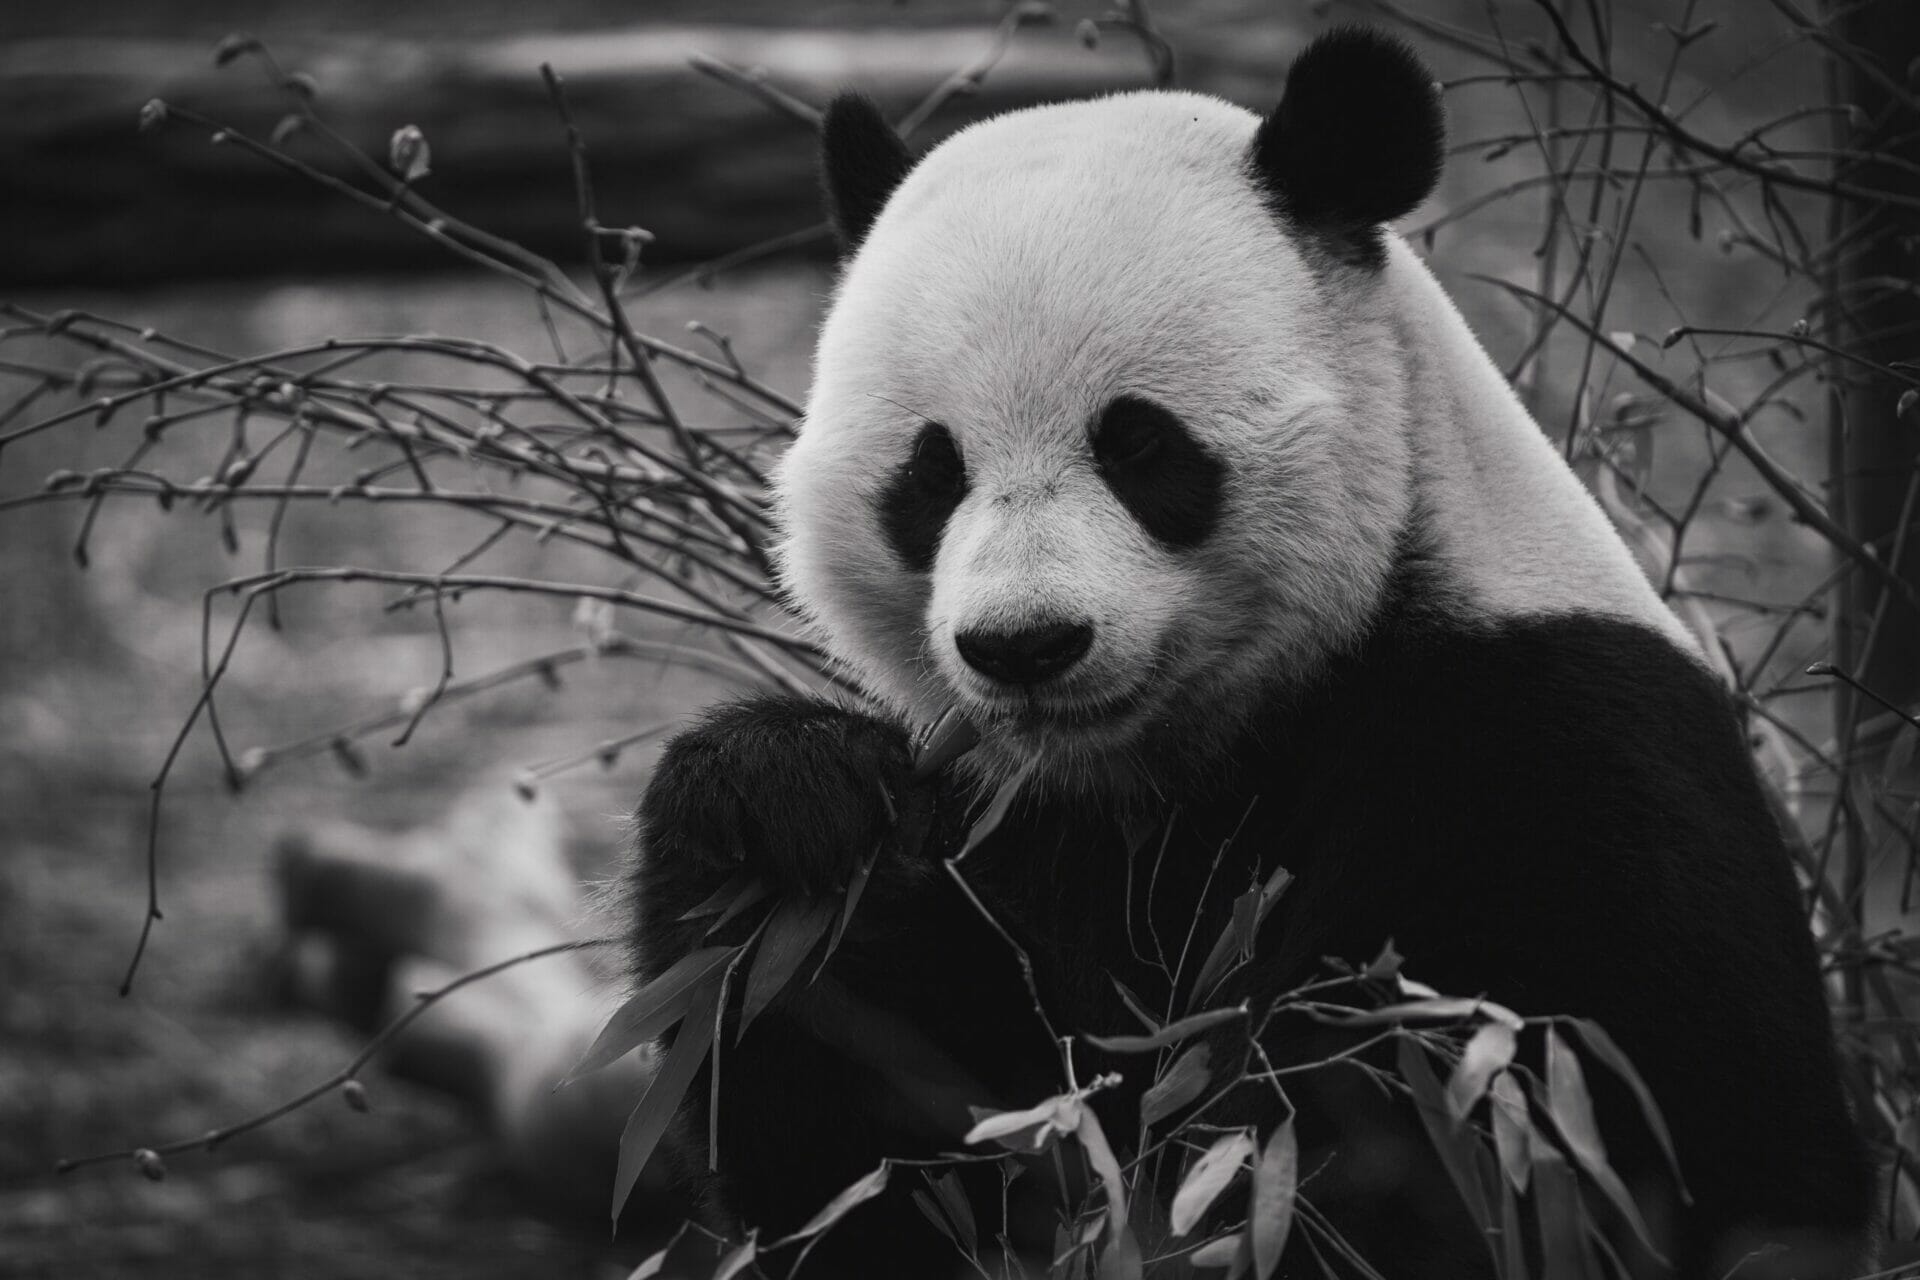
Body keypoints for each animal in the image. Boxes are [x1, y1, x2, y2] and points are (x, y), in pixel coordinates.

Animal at [631, 27, 1873, 1279]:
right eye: (931, 473)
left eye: (1139, 444)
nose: (1025, 645)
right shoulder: (1020, 827)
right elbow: (891, 1156)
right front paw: (785, 799)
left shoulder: (1552, 760)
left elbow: (1491, 1146)